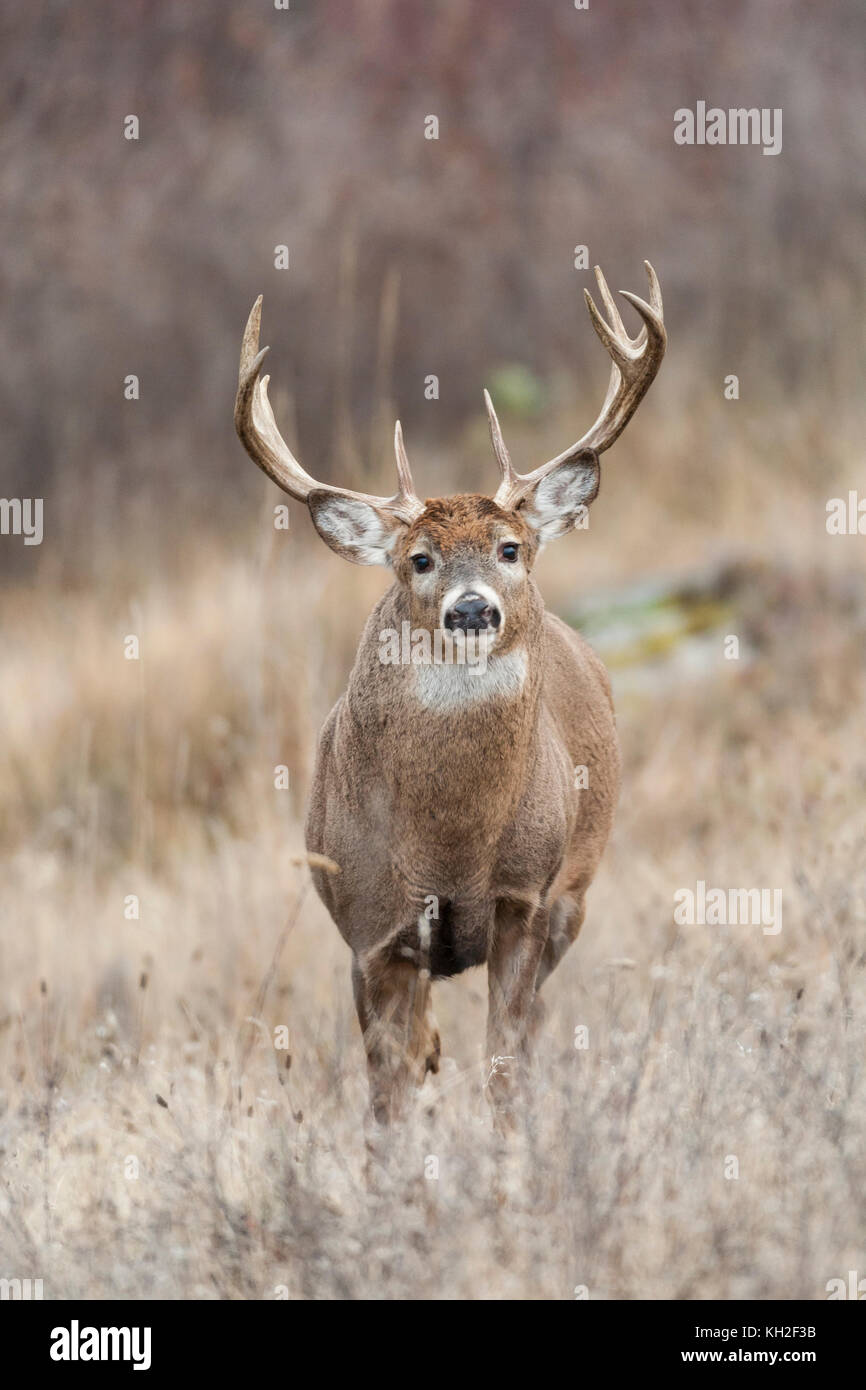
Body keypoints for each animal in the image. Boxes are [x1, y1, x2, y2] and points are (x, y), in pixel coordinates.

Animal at [234, 262, 665, 1128]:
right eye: (420, 559)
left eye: (511, 547)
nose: (473, 610)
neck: (448, 847)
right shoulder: (369, 931)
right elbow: (386, 1095)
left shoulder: (523, 900)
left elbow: (505, 1066)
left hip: (575, 892)